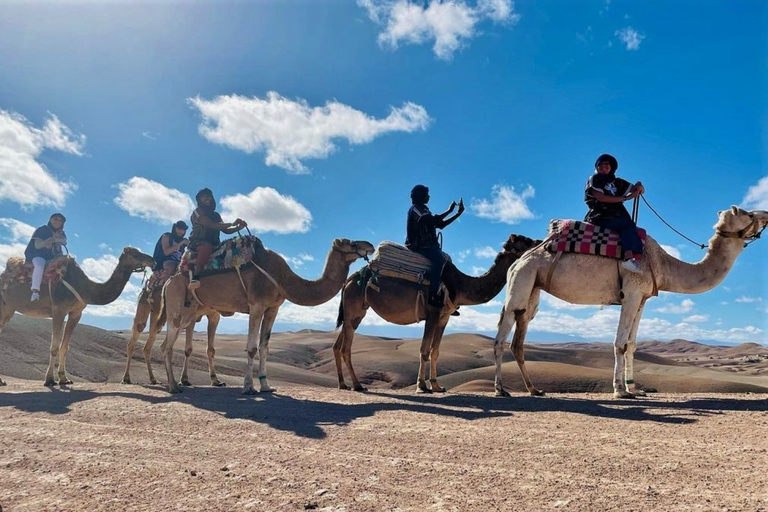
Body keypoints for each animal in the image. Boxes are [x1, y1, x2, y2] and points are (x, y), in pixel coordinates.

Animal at [0, 247, 156, 384]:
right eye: (135, 254)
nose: (152, 260)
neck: (84, 287)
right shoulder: (58, 310)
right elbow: (54, 346)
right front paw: (49, 379)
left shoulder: (76, 313)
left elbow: (65, 346)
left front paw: (64, 379)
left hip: (8, 309)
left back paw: (2, 381)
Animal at [160, 238, 376, 394]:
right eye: (352, 243)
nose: (370, 246)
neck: (283, 278)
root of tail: (168, 281)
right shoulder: (256, 305)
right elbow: (251, 348)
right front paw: (248, 387)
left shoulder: (273, 308)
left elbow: (264, 347)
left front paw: (266, 386)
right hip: (176, 306)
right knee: (167, 344)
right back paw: (173, 386)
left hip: (192, 311)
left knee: (170, 342)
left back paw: (181, 382)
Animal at [332, 234, 540, 394]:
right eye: (525, 240)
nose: (540, 241)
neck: (459, 284)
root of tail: (350, 279)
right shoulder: (432, 313)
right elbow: (424, 350)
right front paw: (422, 386)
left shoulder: (444, 317)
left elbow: (435, 351)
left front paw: (437, 386)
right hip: (353, 307)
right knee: (346, 347)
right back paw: (357, 385)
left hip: (356, 313)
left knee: (339, 344)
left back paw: (343, 384)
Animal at [492, 206, 768, 398]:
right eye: (745, 212)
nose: (765, 213)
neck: (662, 263)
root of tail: (519, 260)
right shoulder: (632, 293)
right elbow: (620, 343)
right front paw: (620, 391)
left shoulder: (642, 298)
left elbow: (633, 344)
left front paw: (636, 388)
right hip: (522, 280)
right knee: (502, 336)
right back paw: (501, 389)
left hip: (533, 289)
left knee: (519, 337)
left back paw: (534, 389)